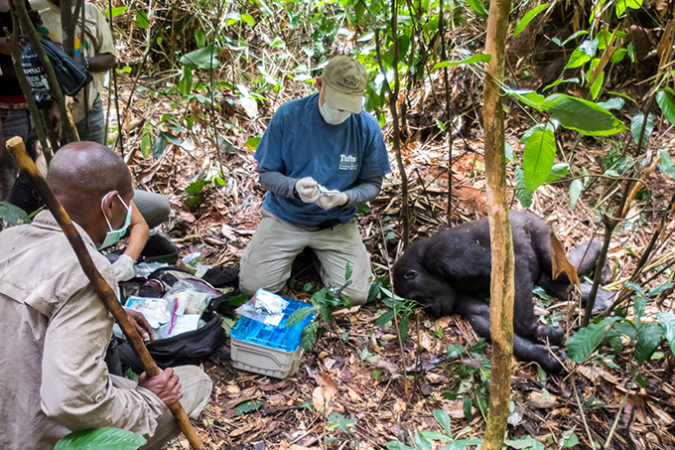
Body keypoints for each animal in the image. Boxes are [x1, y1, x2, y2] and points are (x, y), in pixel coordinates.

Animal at [390, 211, 616, 372]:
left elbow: (510, 268)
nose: (430, 308)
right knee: (553, 280)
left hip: (536, 227)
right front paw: (542, 355)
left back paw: (599, 252)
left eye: (418, 299)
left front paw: (538, 331)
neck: (427, 266)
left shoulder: (444, 254)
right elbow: (485, 317)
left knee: (561, 270)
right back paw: (596, 295)